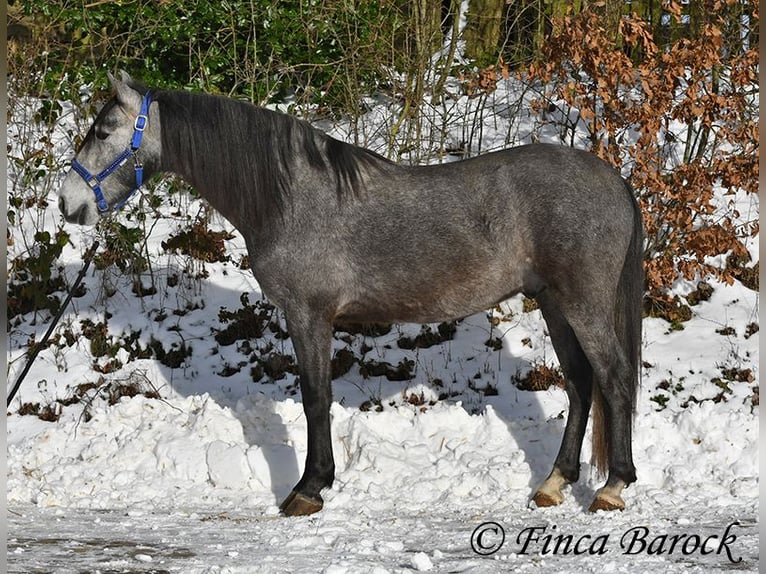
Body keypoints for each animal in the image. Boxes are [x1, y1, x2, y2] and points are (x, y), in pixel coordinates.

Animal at [58, 72, 644, 516]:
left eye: (104, 128)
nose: (67, 203)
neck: (289, 196)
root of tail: (614, 180)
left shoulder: (308, 316)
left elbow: (315, 399)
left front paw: (308, 489)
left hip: (582, 303)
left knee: (614, 377)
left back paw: (613, 487)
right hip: (554, 303)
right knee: (580, 383)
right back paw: (554, 483)